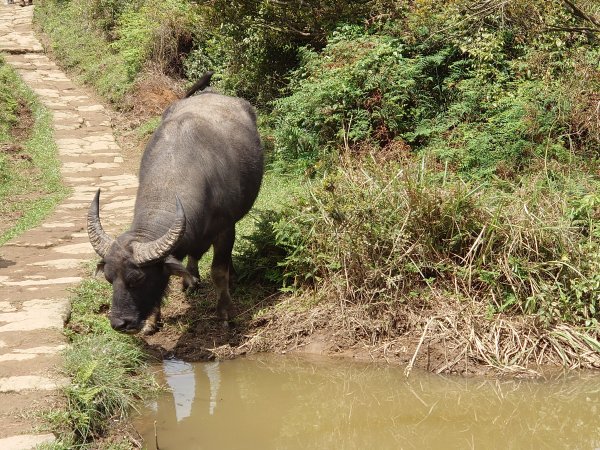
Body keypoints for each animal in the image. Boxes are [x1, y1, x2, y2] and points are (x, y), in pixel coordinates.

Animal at [86, 73, 262, 334]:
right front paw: (152, 320)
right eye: (109, 278)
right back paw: (192, 279)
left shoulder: (225, 229)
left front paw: (225, 313)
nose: (119, 323)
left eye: (137, 279)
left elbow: (218, 271)